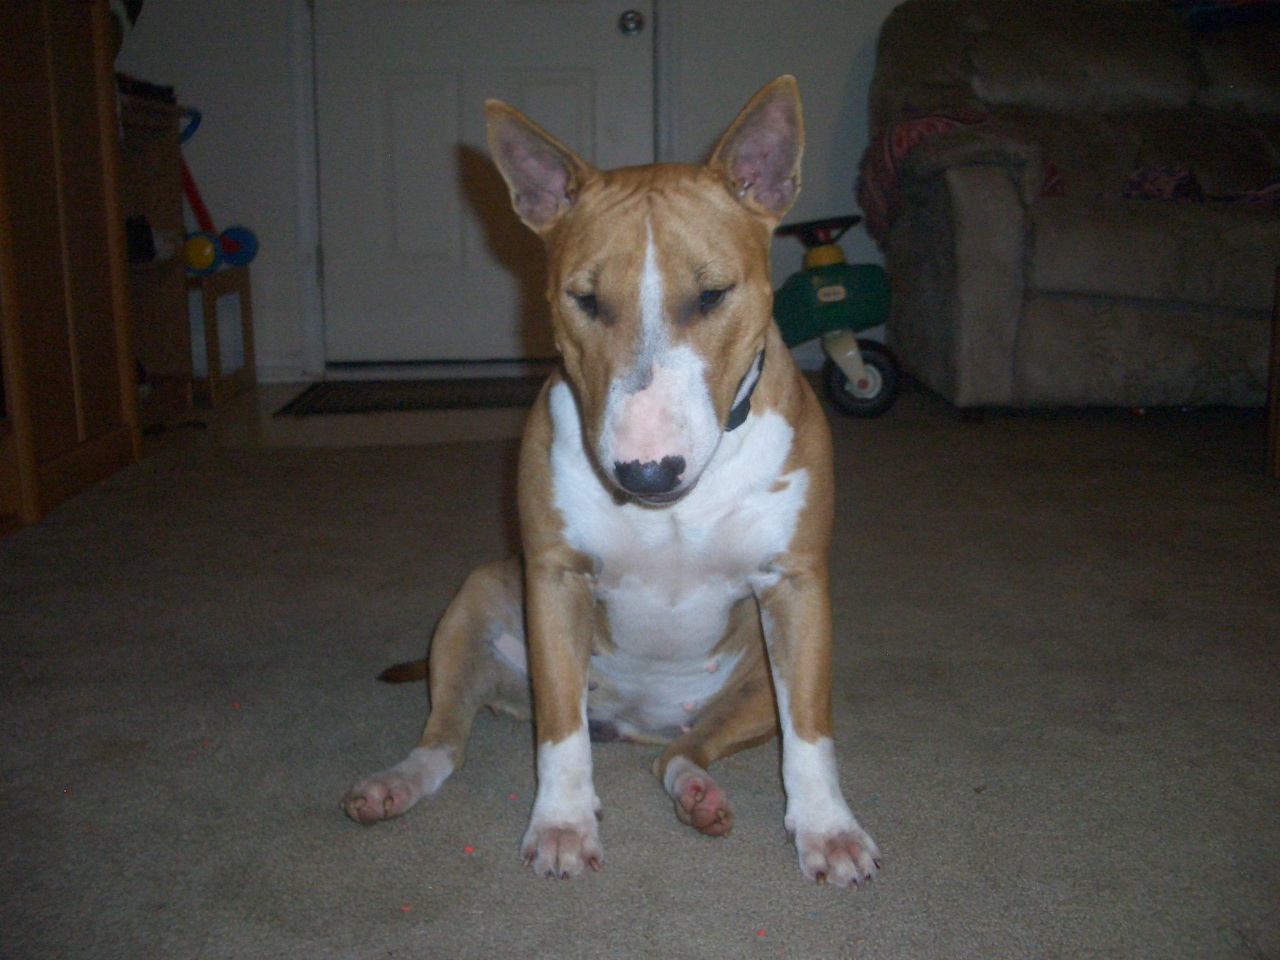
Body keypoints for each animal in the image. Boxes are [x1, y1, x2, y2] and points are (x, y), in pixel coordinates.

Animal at [342, 76, 881, 887]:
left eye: (713, 294)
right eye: (585, 299)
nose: (646, 473)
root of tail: (633, 721)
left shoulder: (796, 586)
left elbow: (811, 737)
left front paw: (828, 831)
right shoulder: (555, 579)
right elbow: (559, 733)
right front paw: (563, 825)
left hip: (751, 687)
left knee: (681, 753)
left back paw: (699, 795)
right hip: (476, 602)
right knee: (445, 740)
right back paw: (392, 785)